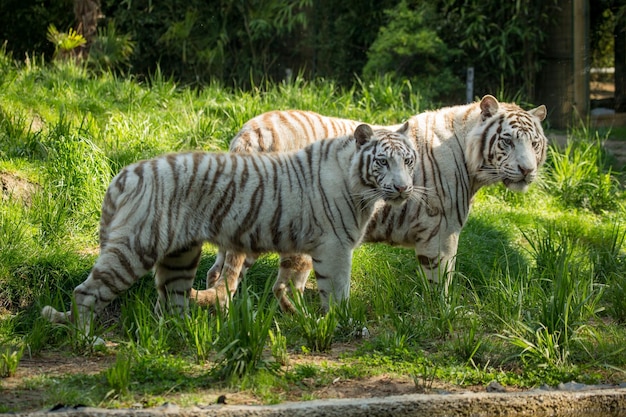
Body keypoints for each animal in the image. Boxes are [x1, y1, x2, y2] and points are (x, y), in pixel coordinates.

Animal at [41, 122, 416, 334]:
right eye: (382, 161)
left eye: (408, 161)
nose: (402, 188)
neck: (362, 188)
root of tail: (125, 173)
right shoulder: (335, 247)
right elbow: (337, 293)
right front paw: (342, 325)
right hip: (135, 247)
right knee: (85, 293)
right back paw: (91, 339)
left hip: (180, 256)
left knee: (171, 301)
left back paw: (185, 336)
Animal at [196, 93, 544, 308]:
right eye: (507, 140)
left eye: (535, 143)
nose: (527, 170)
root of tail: (251, 132)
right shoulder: (442, 232)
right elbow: (440, 280)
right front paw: (442, 313)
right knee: (280, 283)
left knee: (220, 272)